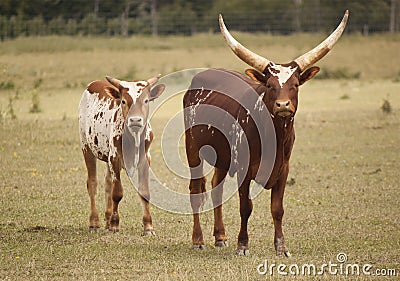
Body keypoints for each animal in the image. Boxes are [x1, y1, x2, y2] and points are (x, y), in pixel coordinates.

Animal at [77, 75, 165, 233]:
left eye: (146, 100)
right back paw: (94, 222)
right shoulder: (114, 158)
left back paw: (107, 219)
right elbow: (117, 193)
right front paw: (114, 224)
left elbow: (144, 192)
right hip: (86, 147)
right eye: (123, 101)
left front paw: (148, 226)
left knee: (107, 183)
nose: (135, 120)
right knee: (92, 184)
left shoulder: (145, 159)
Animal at [183, 10, 348, 255]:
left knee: (216, 189)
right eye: (270, 85)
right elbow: (246, 207)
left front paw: (281, 247)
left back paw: (220, 236)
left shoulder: (283, 169)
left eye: (296, 84)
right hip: (192, 149)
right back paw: (198, 240)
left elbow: (277, 209)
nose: (283, 105)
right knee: (196, 191)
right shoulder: (244, 169)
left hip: (222, 157)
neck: (274, 137)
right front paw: (243, 245)